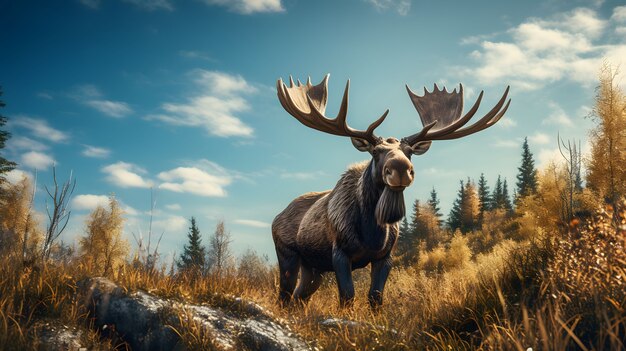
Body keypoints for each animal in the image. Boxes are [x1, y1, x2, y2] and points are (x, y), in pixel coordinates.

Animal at [270, 74, 510, 308]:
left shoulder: (385, 256)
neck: (372, 232)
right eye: (376, 151)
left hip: (313, 267)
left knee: (299, 297)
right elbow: (347, 296)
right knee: (284, 295)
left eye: (409, 152)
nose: (401, 169)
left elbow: (376, 297)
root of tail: (277, 217)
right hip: (288, 254)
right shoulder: (340, 252)